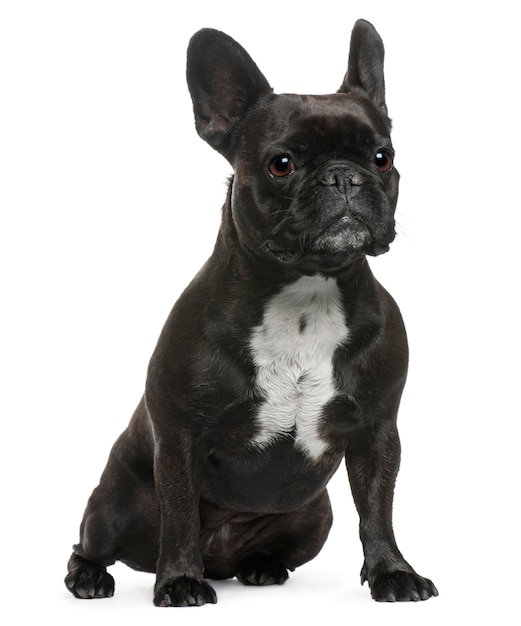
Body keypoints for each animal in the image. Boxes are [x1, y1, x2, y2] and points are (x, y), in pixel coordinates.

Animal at [66, 20, 438, 604]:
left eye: (382, 157)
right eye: (281, 164)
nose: (344, 176)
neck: (306, 291)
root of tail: (221, 558)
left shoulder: (378, 432)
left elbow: (378, 510)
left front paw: (392, 572)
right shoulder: (179, 438)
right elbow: (179, 514)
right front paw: (179, 580)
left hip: (316, 516)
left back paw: (263, 567)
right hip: (114, 507)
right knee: (96, 542)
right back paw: (92, 576)